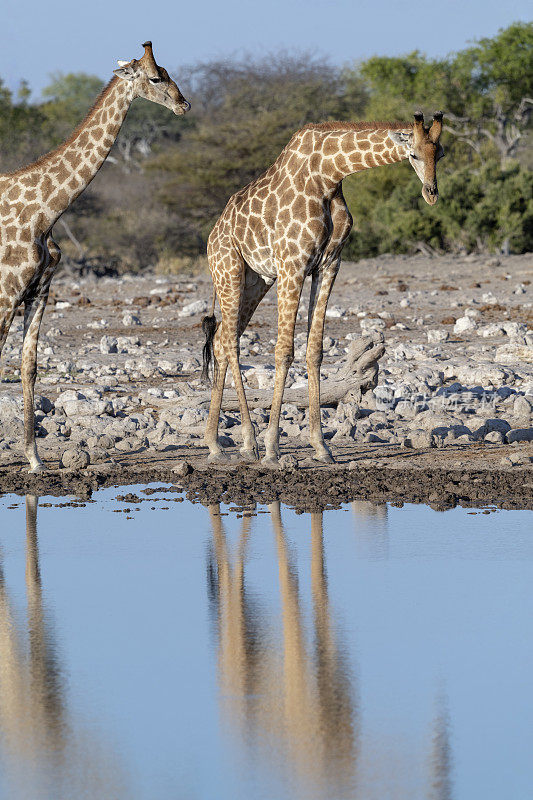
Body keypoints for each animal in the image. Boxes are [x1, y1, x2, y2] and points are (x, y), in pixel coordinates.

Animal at [0, 42, 191, 468]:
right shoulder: (6, 289)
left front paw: (34, 458)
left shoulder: (39, 289)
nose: (184, 105)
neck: (46, 212)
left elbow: (28, 366)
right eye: (156, 78)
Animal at [202, 109, 442, 466]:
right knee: (230, 341)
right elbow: (284, 351)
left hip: (257, 281)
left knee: (220, 340)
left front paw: (320, 445)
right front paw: (272, 448)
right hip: (229, 271)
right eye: (413, 154)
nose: (431, 193)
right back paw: (249, 441)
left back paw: (218, 444)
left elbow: (314, 351)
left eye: (440, 154)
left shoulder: (328, 264)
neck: (329, 174)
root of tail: (212, 236)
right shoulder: (292, 264)